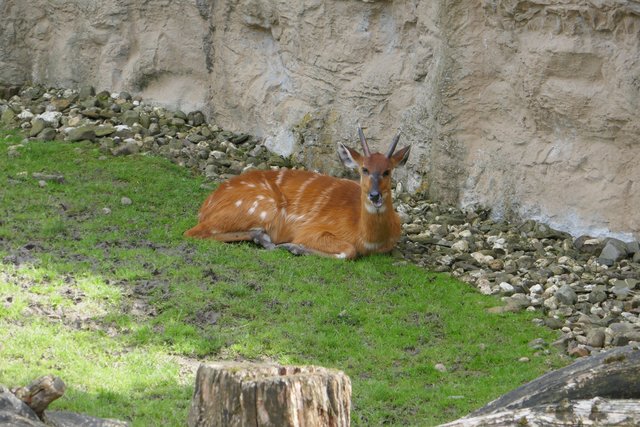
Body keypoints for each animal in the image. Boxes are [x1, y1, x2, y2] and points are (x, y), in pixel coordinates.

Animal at [184, 126, 411, 259]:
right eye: (364, 169)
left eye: (387, 171)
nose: (374, 195)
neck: (368, 238)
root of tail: (205, 207)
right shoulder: (311, 230)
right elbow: (349, 250)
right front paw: (294, 247)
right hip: (262, 207)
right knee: (193, 233)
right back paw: (267, 240)